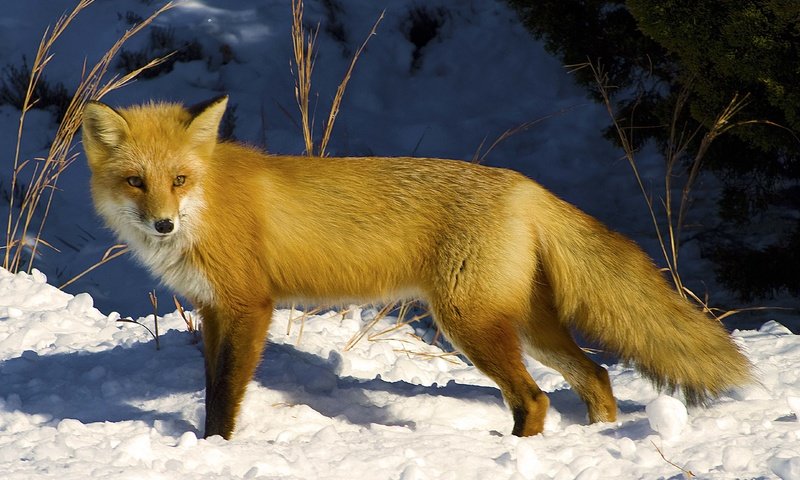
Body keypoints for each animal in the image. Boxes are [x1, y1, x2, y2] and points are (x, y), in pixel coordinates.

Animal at [81, 95, 752, 440]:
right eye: (136, 182)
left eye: (179, 180)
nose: (163, 225)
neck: (210, 205)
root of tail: (523, 185)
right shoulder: (214, 309)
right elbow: (210, 388)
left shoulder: (250, 306)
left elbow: (225, 396)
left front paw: (216, 448)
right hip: (526, 326)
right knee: (598, 377)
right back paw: (596, 440)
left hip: (468, 322)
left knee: (535, 399)